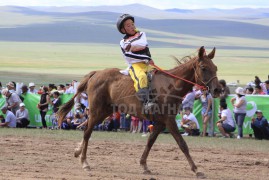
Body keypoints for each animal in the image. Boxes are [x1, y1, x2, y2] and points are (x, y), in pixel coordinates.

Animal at [57, 45, 220, 178]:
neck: (171, 85)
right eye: (204, 67)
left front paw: (144, 165)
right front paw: (196, 169)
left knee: (86, 128)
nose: (218, 90)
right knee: (87, 132)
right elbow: (182, 144)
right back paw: (84, 162)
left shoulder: (161, 122)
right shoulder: (169, 120)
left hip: (105, 111)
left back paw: (78, 152)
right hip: (97, 111)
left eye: (215, 67)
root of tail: (96, 74)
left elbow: (150, 141)